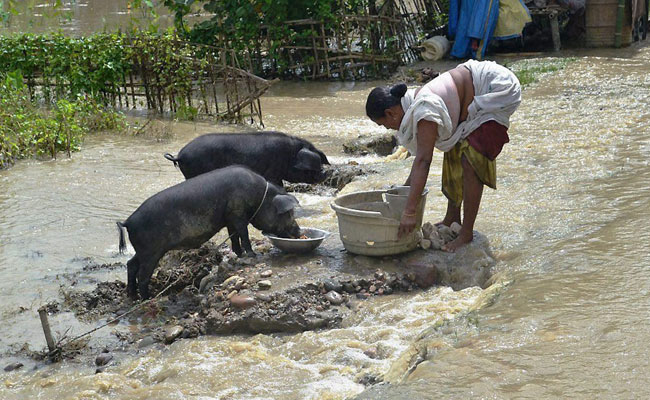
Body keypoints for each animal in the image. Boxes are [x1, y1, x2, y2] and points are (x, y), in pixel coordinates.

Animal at [116, 164, 298, 298]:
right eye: (289, 213)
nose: (298, 230)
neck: (259, 197)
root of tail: (128, 222)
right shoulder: (237, 213)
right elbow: (244, 234)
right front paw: (253, 255)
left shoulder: (229, 218)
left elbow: (234, 237)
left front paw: (239, 254)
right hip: (151, 251)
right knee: (142, 275)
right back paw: (148, 298)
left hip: (143, 250)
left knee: (131, 264)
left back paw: (132, 296)